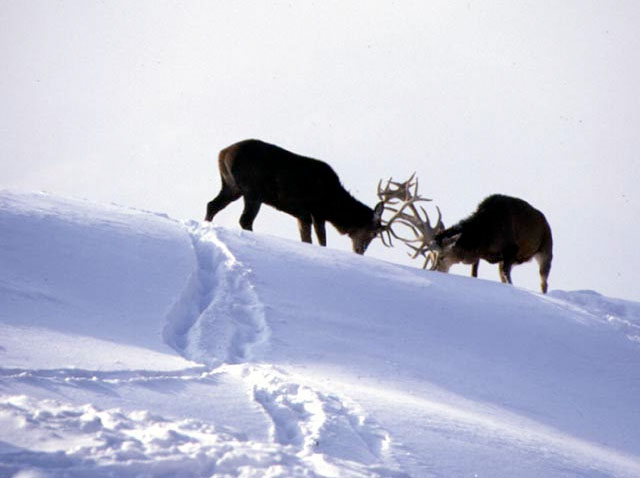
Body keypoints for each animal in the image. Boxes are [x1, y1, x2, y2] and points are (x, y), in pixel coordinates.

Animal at [205, 139, 385, 254]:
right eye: (373, 233)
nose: (360, 250)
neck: (334, 206)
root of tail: (222, 154)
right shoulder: (317, 211)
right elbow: (322, 240)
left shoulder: (303, 215)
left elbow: (306, 238)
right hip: (252, 190)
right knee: (245, 219)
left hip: (231, 186)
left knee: (212, 205)